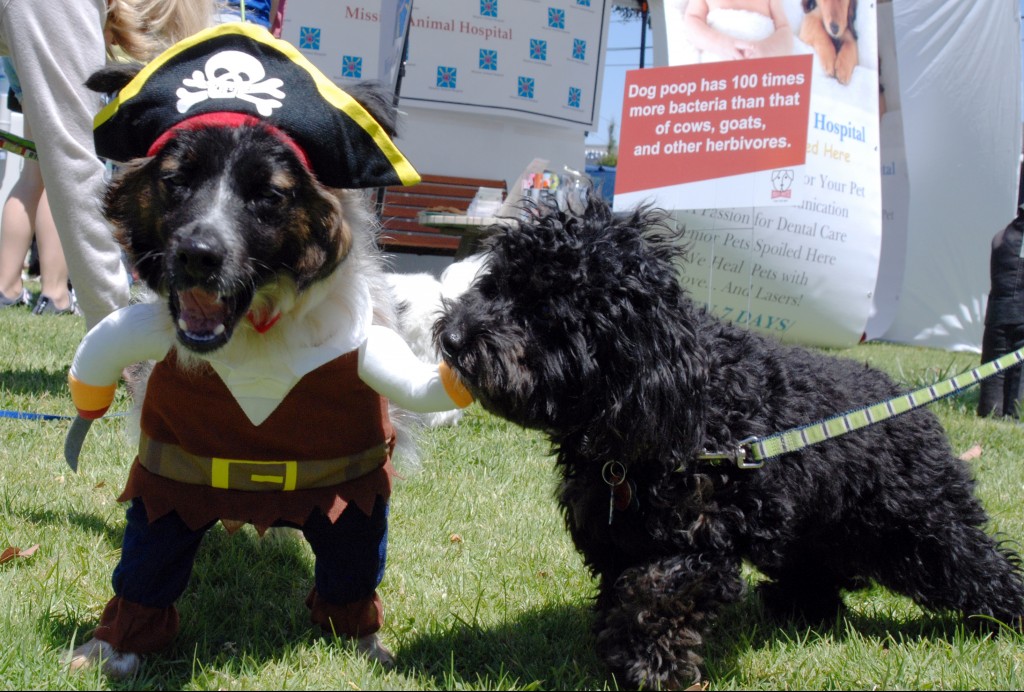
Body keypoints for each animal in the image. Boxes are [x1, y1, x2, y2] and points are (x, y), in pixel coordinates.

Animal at [436, 197, 1024, 687]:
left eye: (545, 310)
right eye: (495, 286)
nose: (453, 337)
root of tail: (906, 401)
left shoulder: (703, 537)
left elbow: (654, 594)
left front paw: (649, 666)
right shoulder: (616, 531)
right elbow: (621, 589)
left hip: (919, 526)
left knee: (976, 565)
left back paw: (1007, 614)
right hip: (826, 525)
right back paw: (800, 607)